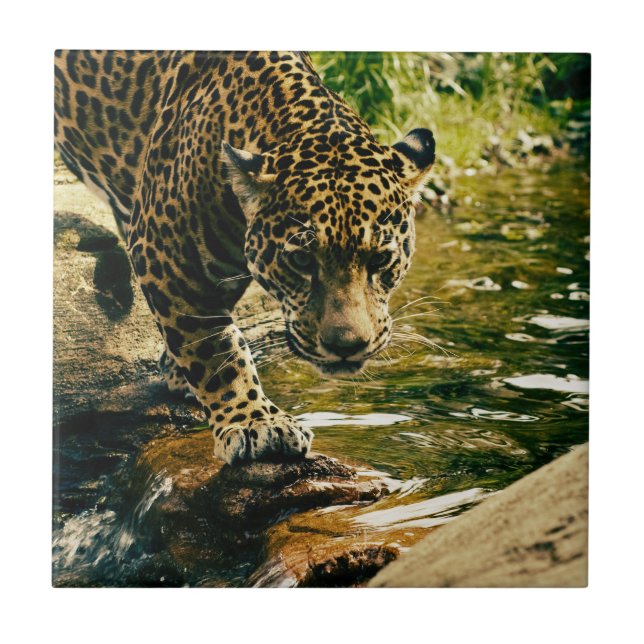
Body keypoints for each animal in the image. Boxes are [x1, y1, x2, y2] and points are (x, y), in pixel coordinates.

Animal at [54, 50, 435, 465]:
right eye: (302, 262)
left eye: (380, 261)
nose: (346, 347)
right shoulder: (166, 254)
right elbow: (215, 348)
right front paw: (256, 422)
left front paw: (176, 371)